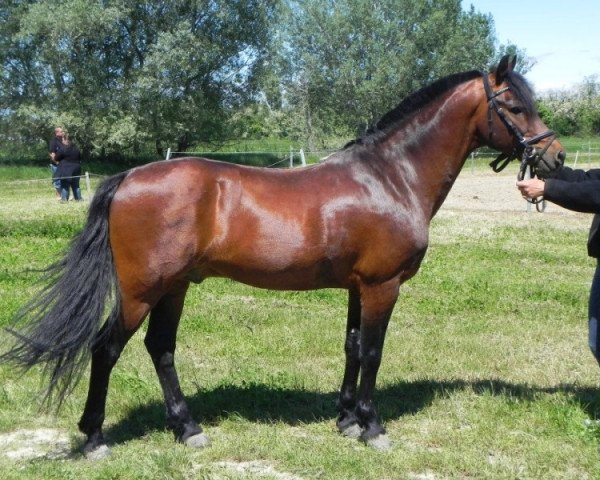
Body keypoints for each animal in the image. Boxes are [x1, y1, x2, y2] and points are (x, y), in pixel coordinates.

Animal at [1, 54, 564, 456]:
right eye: (515, 106)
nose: (554, 157)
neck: (389, 176)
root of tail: (128, 178)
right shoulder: (382, 286)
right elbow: (374, 353)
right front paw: (373, 427)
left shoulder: (357, 287)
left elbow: (352, 348)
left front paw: (346, 420)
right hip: (142, 290)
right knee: (105, 350)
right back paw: (96, 438)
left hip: (174, 287)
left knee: (160, 349)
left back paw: (188, 429)